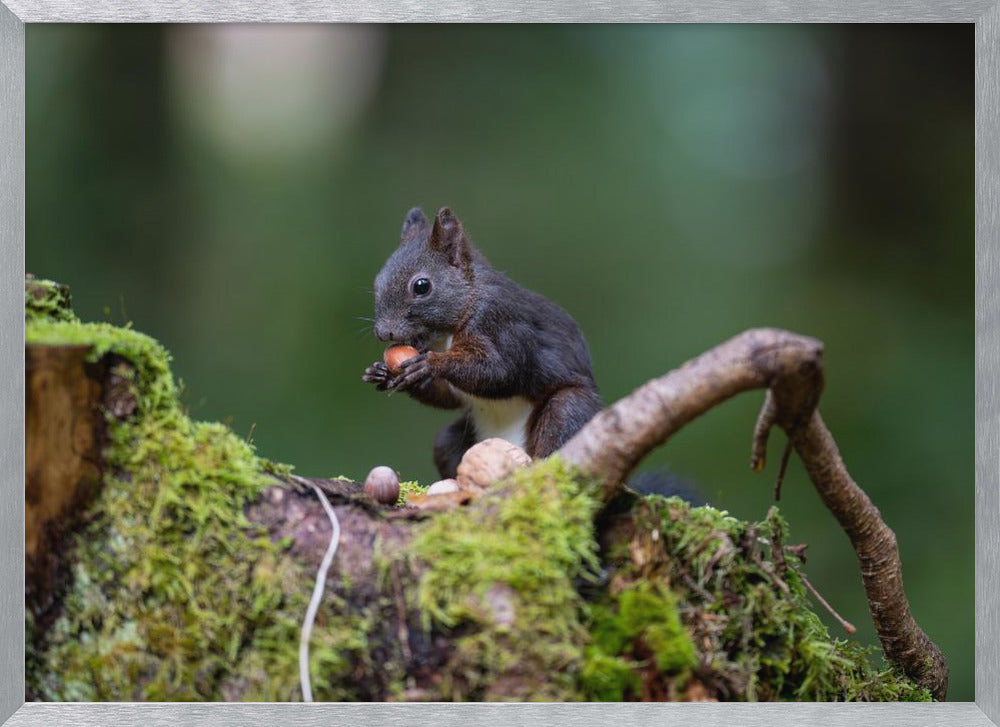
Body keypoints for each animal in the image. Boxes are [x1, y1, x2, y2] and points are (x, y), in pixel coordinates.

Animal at [366, 206, 604, 478]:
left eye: (422, 286)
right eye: (377, 282)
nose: (384, 332)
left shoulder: (500, 321)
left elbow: (501, 371)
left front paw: (430, 364)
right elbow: (449, 396)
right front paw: (381, 372)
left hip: (568, 411)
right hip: (453, 441)